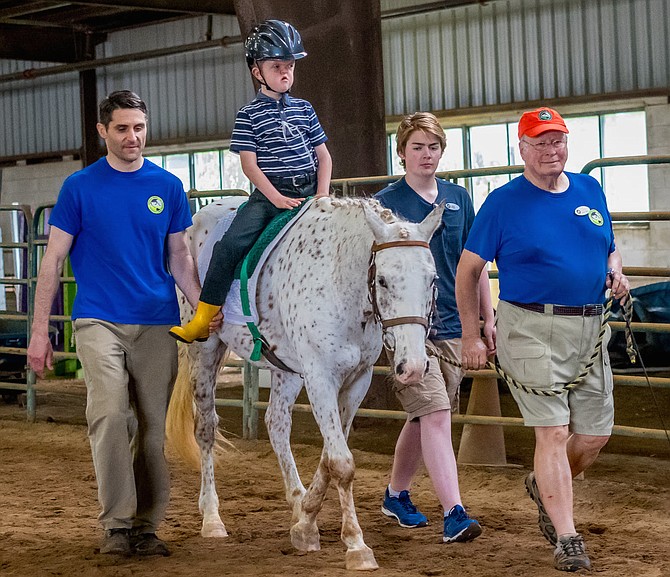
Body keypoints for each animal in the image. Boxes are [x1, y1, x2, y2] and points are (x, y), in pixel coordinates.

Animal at [166, 196, 444, 568]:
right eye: (383, 280)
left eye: (432, 279)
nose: (412, 366)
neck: (341, 283)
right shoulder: (320, 376)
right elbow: (341, 463)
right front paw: (356, 545)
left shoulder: (357, 380)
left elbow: (330, 457)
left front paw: (306, 521)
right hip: (206, 350)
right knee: (206, 429)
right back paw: (212, 518)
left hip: (284, 369)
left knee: (276, 422)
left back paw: (296, 501)